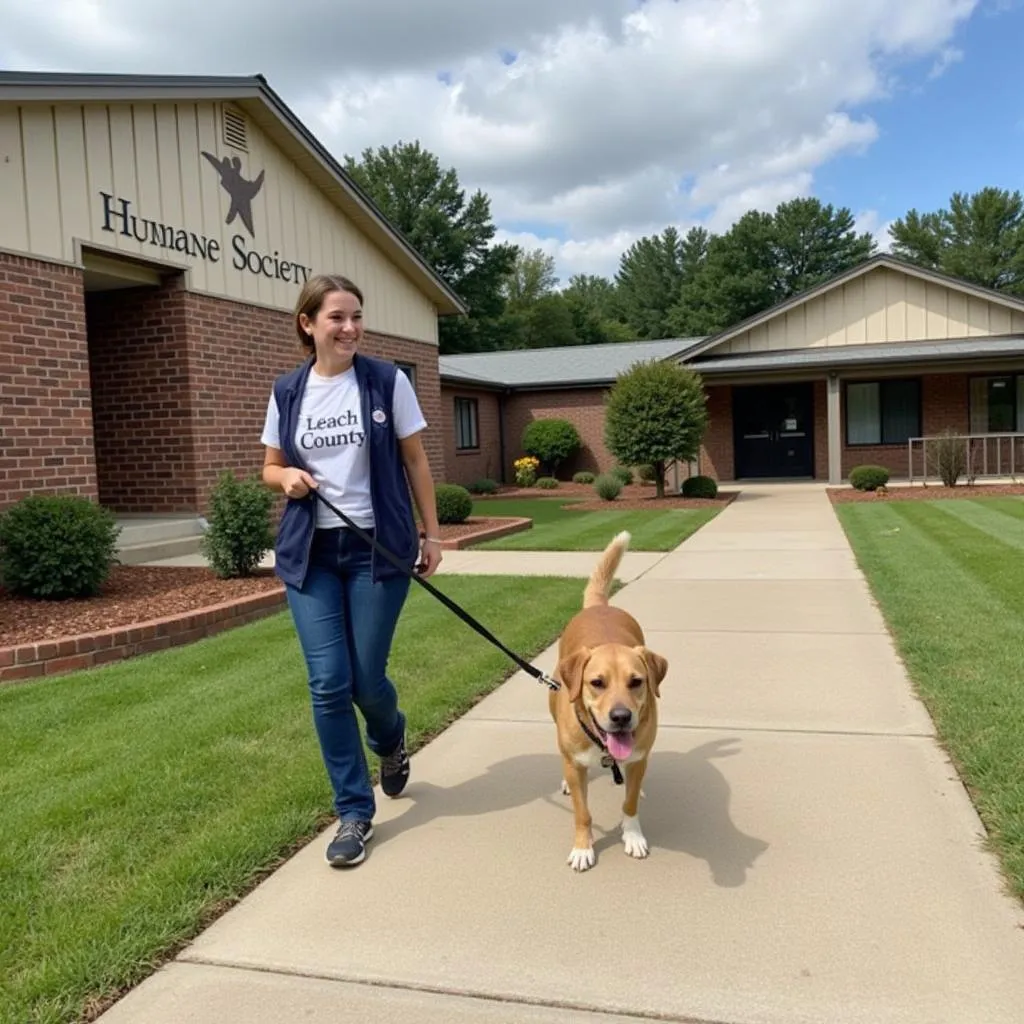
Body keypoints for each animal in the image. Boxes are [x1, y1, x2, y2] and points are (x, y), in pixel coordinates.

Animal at [548, 528, 667, 872]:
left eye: (636, 682)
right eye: (597, 683)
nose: (621, 717)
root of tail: (599, 605)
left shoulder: (638, 756)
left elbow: (629, 801)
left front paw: (633, 836)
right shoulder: (576, 766)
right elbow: (582, 812)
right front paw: (583, 847)